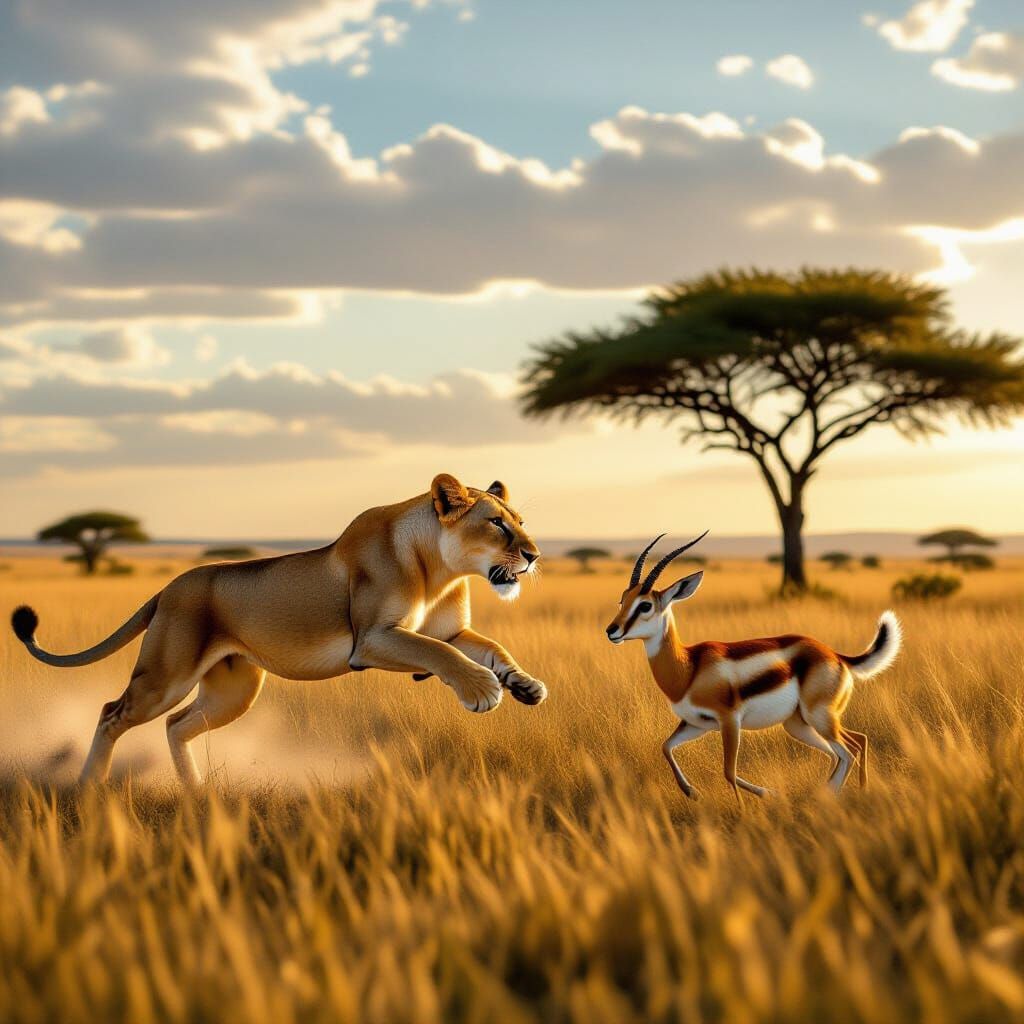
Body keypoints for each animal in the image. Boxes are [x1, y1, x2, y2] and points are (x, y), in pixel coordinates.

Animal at [11, 474, 548, 787]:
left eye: (521, 522)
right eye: (498, 525)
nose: (534, 555)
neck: (441, 570)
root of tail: (167, 587)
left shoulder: (452, 632)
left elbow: (488, 648)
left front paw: (524, 685)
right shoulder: (371, 639)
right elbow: (440, 656)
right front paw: (483, 692)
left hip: (233, 691)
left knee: (177, 725)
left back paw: (197, 793)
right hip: (165, 677)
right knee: (111, 714)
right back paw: (89, 788)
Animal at [605, 533, 901, 799]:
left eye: (645, 605)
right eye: (623, 599)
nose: (612, 631)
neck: (689, 669)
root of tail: (836, 655)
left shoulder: (729, 721)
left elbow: (728, 772)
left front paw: (756, 800)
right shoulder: (696, 724)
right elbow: (666, 747)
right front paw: (692, 792)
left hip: (819, 717)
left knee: (848, 751)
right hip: (800, 724)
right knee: (853, 744)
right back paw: (842, 793)